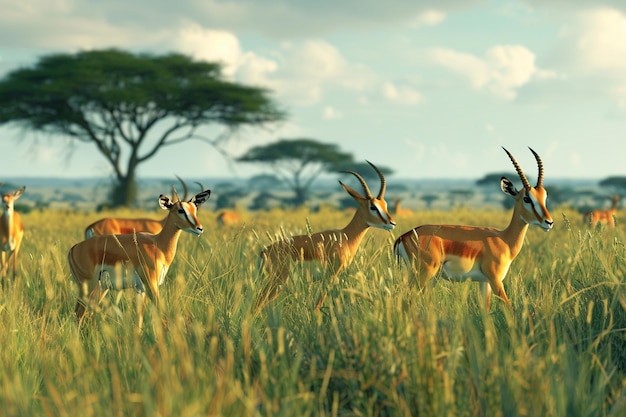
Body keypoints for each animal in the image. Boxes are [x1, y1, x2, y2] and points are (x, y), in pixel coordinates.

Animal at [67, 187, 211, 326]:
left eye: (194, 209)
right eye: (181, 210)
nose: (199, 228)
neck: (158, 244)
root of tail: (73, 249)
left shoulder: (141, 290)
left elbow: (139, 322)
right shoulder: (151, 285)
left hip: (100, 288)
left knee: (83, 313)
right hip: (88, 286)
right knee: (78, 314)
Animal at [251, 161, 392, 310]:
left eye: (385, 204)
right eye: (373, 206)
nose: (392, 223)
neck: (345, 237)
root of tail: (263, 252)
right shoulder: (331, 275)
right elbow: (318, 303)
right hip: (278, 282)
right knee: (257, 303)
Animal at [392, 147, 552, 308]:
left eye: (544, 196)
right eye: (527, 198)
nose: (548, 222)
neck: (504, 240)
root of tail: (403, 237)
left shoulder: (484, 282)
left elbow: (486, 309)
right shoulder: (495, 280)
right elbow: (509, 306)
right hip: (424, 275)